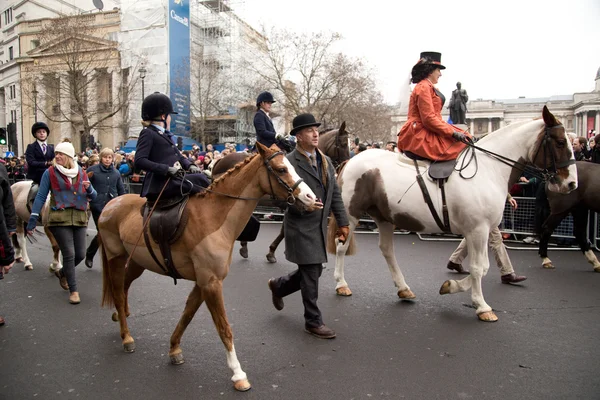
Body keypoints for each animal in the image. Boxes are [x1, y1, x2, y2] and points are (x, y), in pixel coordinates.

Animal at [99, 144, 318, 390]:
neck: (214, 217)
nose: (311, 197)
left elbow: (187, 314)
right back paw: (126, 336)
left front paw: (174, 348)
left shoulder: (203, 282)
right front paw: (238, 373)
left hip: (137, 262)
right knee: (118, 293)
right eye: (281, 169)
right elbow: (224, 328)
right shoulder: (211, 283)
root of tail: (111, 203)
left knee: (125, 286)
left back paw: (120, 316)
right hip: (116, 259)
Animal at [212, 123, 352, 264]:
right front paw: (271, 252)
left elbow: (284, 230)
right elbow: (284, 230)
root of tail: (220, 161)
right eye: (344, 143)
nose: (346, 164)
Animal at [328, 106, 576, 322]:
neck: (488, 170)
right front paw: (481, 306)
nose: (572, 184)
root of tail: (351, 160)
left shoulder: (482, 230)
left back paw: (403, 288)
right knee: (341, 246)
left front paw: (453, 287)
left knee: (387, 250)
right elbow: (478, 268)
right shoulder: (477, 230)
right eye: (561, 142)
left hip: (385, 217)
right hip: (351, 215)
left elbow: (483, 266)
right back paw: (341, 284)